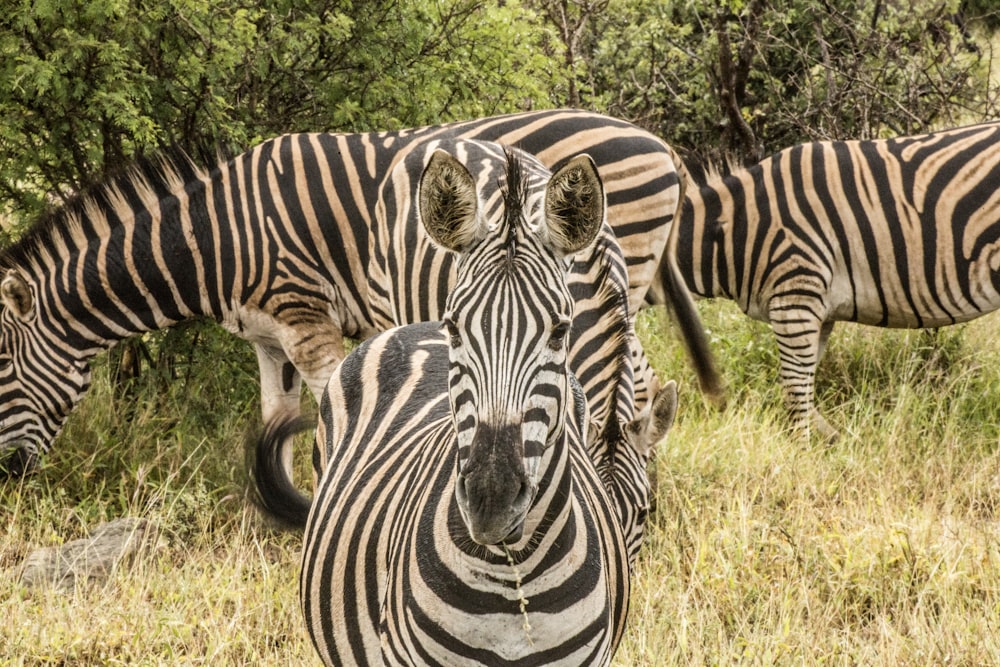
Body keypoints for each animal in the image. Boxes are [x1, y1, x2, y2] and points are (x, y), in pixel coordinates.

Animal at [0, 108, 720, 474]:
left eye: (1, 371)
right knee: (638, 387)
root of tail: (662, 146)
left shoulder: (305, 318)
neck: (220, 235)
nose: (9, 477)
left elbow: (332, 413)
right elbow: (277, 419)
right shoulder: (268, 340)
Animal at [668, 119, 1000, 440]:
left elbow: (795, 394)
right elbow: (801, 388)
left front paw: (800, 451)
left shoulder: (794, 299)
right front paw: (835, 439)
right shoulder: (817, 311)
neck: (734, 231)